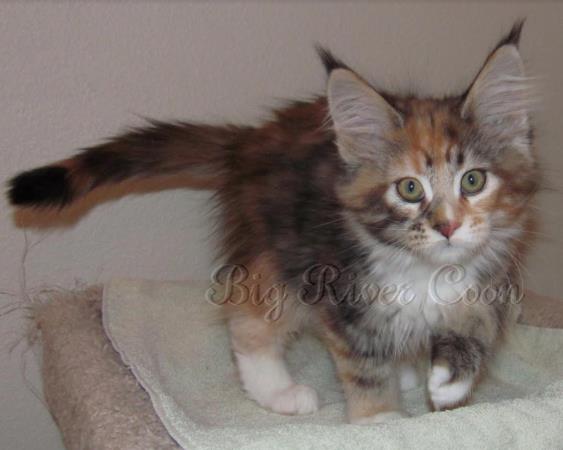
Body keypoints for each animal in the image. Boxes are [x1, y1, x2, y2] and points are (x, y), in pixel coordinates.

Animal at [6, 21, 540, 422]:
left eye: (473, 181)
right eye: (409, 189)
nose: (448, 227)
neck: (425, 270)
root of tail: (250, 141)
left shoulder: (490, 282)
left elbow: (476, 330)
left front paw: (449, 381)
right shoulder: (342, 293)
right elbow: (364, 369)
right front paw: (382, 421)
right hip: (277, 250)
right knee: (248, 321)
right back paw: (280, 392)